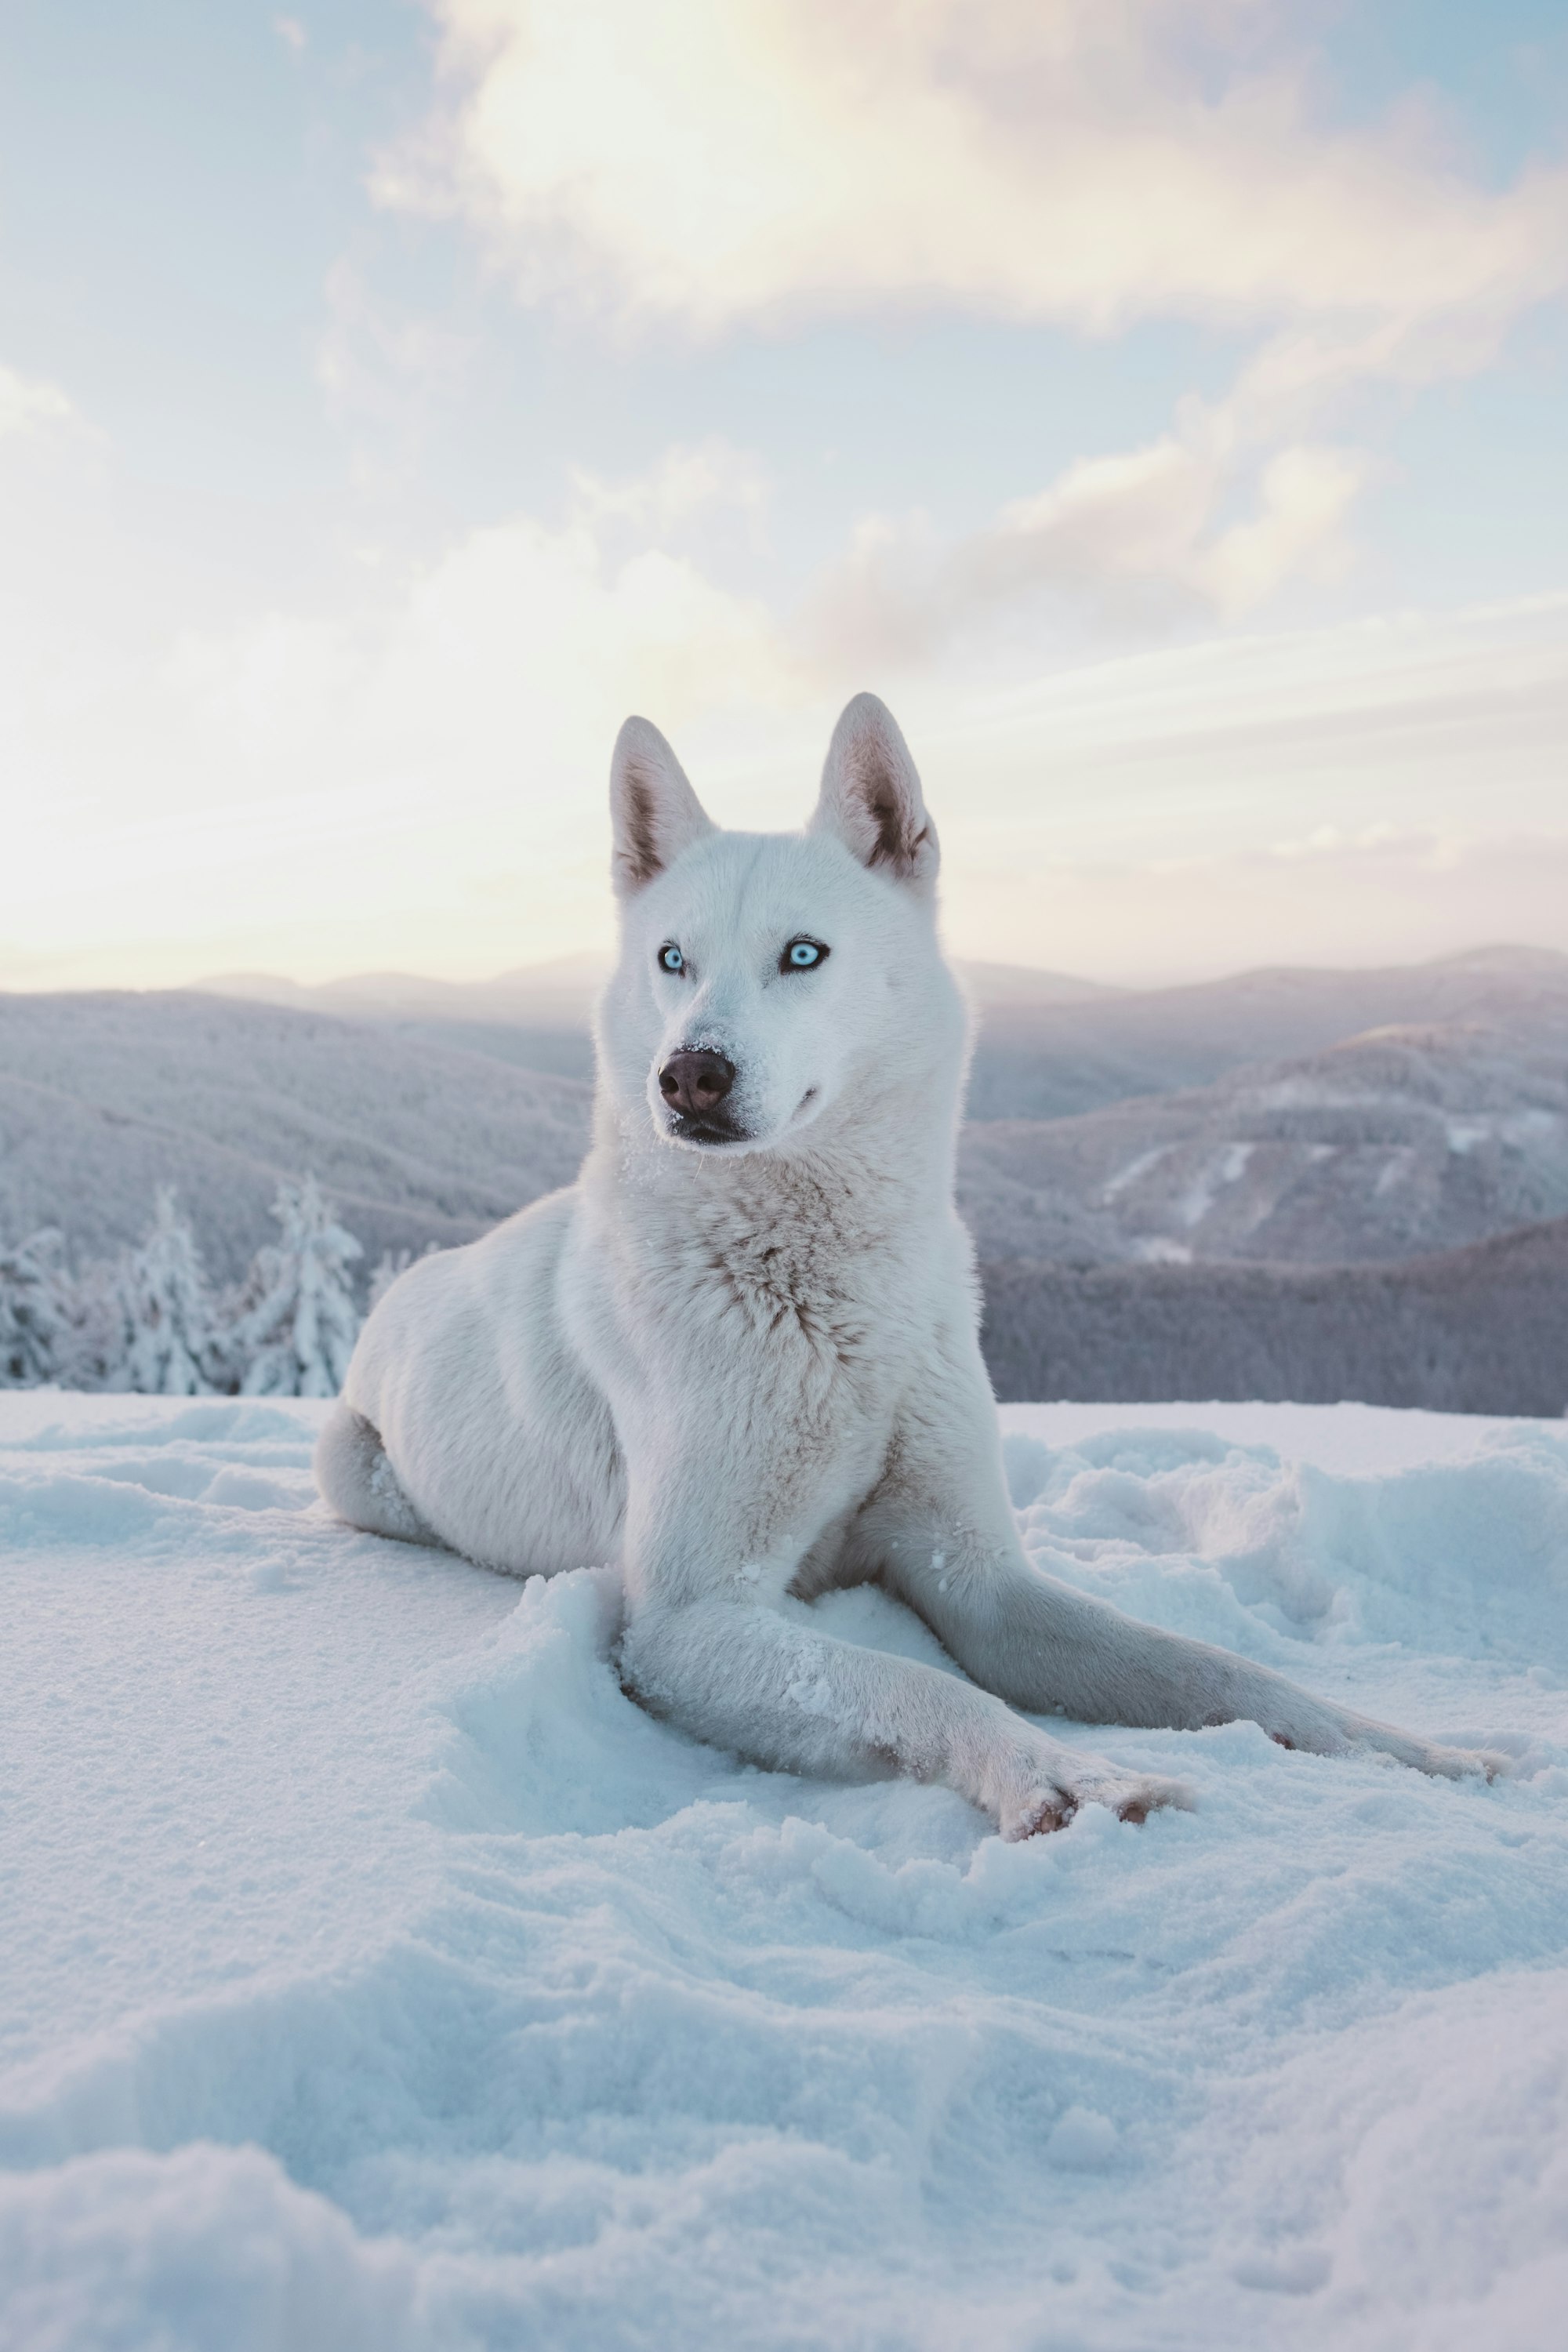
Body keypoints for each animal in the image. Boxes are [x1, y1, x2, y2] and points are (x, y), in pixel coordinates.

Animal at [312, 687, 1504, 1825]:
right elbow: (920, 1685)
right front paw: (1063, 1777)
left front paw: (1411, 1752)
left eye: (802, 954)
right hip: (355, 1468)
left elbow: (1219, 1672)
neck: (830, 1301)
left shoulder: (978, 1577)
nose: (687, 1074)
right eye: (671, 960)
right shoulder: (691, 1621)